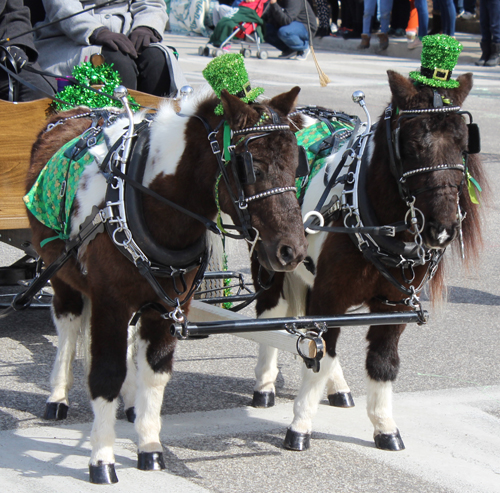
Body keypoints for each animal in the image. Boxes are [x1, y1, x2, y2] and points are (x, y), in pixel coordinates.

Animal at [26, 86, 308, 482]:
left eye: (298, 162)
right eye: (252, 165)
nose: (292, 251)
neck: (147, 200)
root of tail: (72, 109)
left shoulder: (168, 307)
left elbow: (155, 374)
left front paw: (149, 446)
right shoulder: (111, 303)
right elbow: (106, 374)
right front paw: (102, 458)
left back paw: (129, 401)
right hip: (61, 273)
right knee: (67, 324)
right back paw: (58, 396)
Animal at [250, 71, 484, 452]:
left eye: (464, 144)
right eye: (412, 145)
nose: (444, 229)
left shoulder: (394, 304)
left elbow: (382, 362)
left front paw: (385, 427)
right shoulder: (330, 295)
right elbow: (318, 354)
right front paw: (300, 426)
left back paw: (338, 388)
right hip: (270, 262)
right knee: (271, 317)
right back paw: (265, 385)